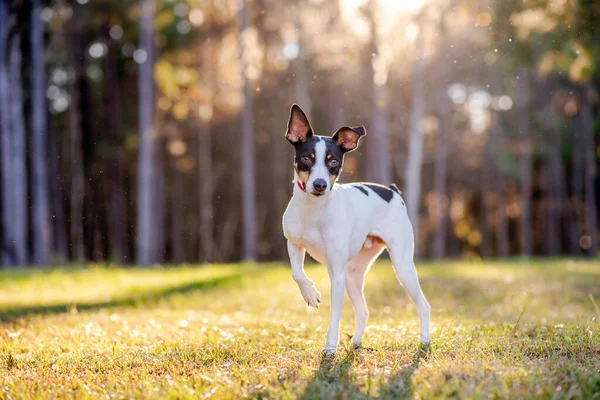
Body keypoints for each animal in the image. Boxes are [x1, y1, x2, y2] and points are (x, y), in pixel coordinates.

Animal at [282, 104, 432, 354]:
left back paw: (424, 341)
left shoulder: (336, 271)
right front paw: (310, 294)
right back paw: (355, 342)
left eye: (333, 161)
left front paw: (330, 347)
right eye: (306, 158)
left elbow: (335, 313)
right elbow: (297, 273)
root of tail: (391, 190)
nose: (320, 185)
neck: (314, 210)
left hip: (402, 267)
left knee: (424, 305)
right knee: (363, 310)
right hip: (353, 273)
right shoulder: (294, 242)